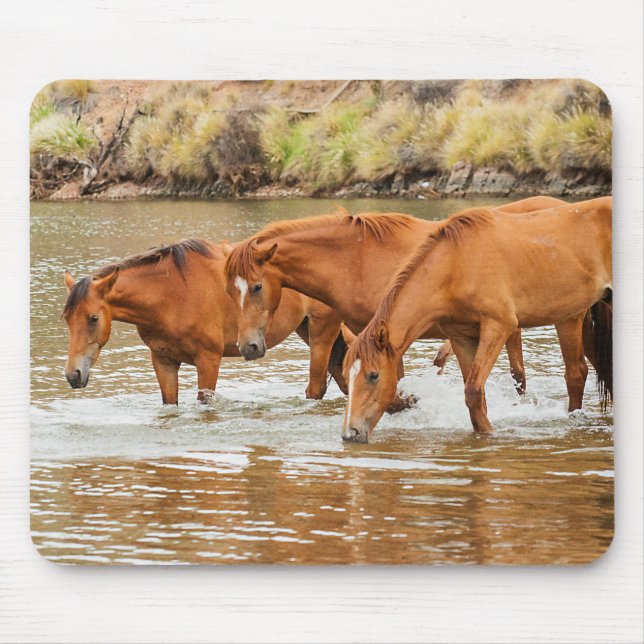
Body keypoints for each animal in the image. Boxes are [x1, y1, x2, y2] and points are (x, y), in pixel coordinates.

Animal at [62, 239, 348, 405]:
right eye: (66, 319)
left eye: (93, 318)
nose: (73, 375)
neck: (171, 295)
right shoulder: (163, 361)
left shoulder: (208, 360)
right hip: (307, 330)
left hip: (321, 334)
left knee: (316, 388)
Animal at [341, 197, 612, 442]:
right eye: (346, 376)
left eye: (373, 375)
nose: (350, 433)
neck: (456, 265)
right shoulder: (461, 336)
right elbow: (476, 396)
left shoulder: (499, 326)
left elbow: (472, 390)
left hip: (571, 318)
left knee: (575, 375)